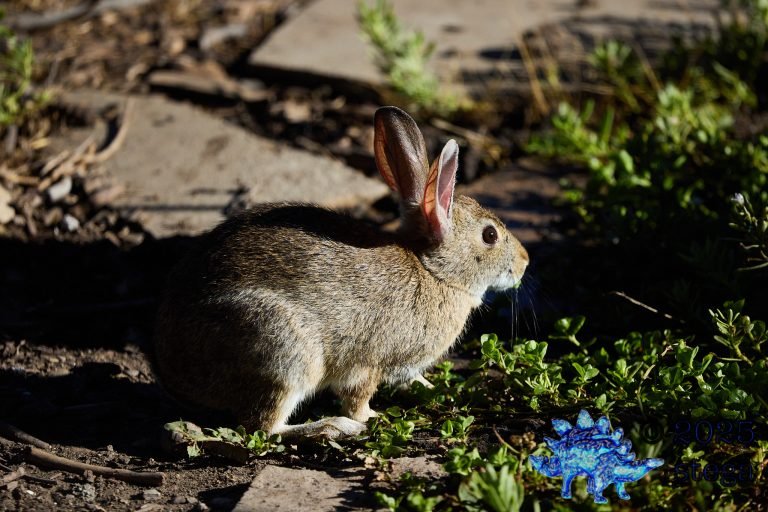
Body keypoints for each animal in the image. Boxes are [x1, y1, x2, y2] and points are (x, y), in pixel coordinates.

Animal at [153, 106, 529, 439]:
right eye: (490, 236)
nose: (525, 262)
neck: (434, 271)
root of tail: (173, 372)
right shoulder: (367, 362)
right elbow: (358, 396)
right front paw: (371, 417)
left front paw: (436, 387)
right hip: (283, 350)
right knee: (263, 426)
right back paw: (333, 427)